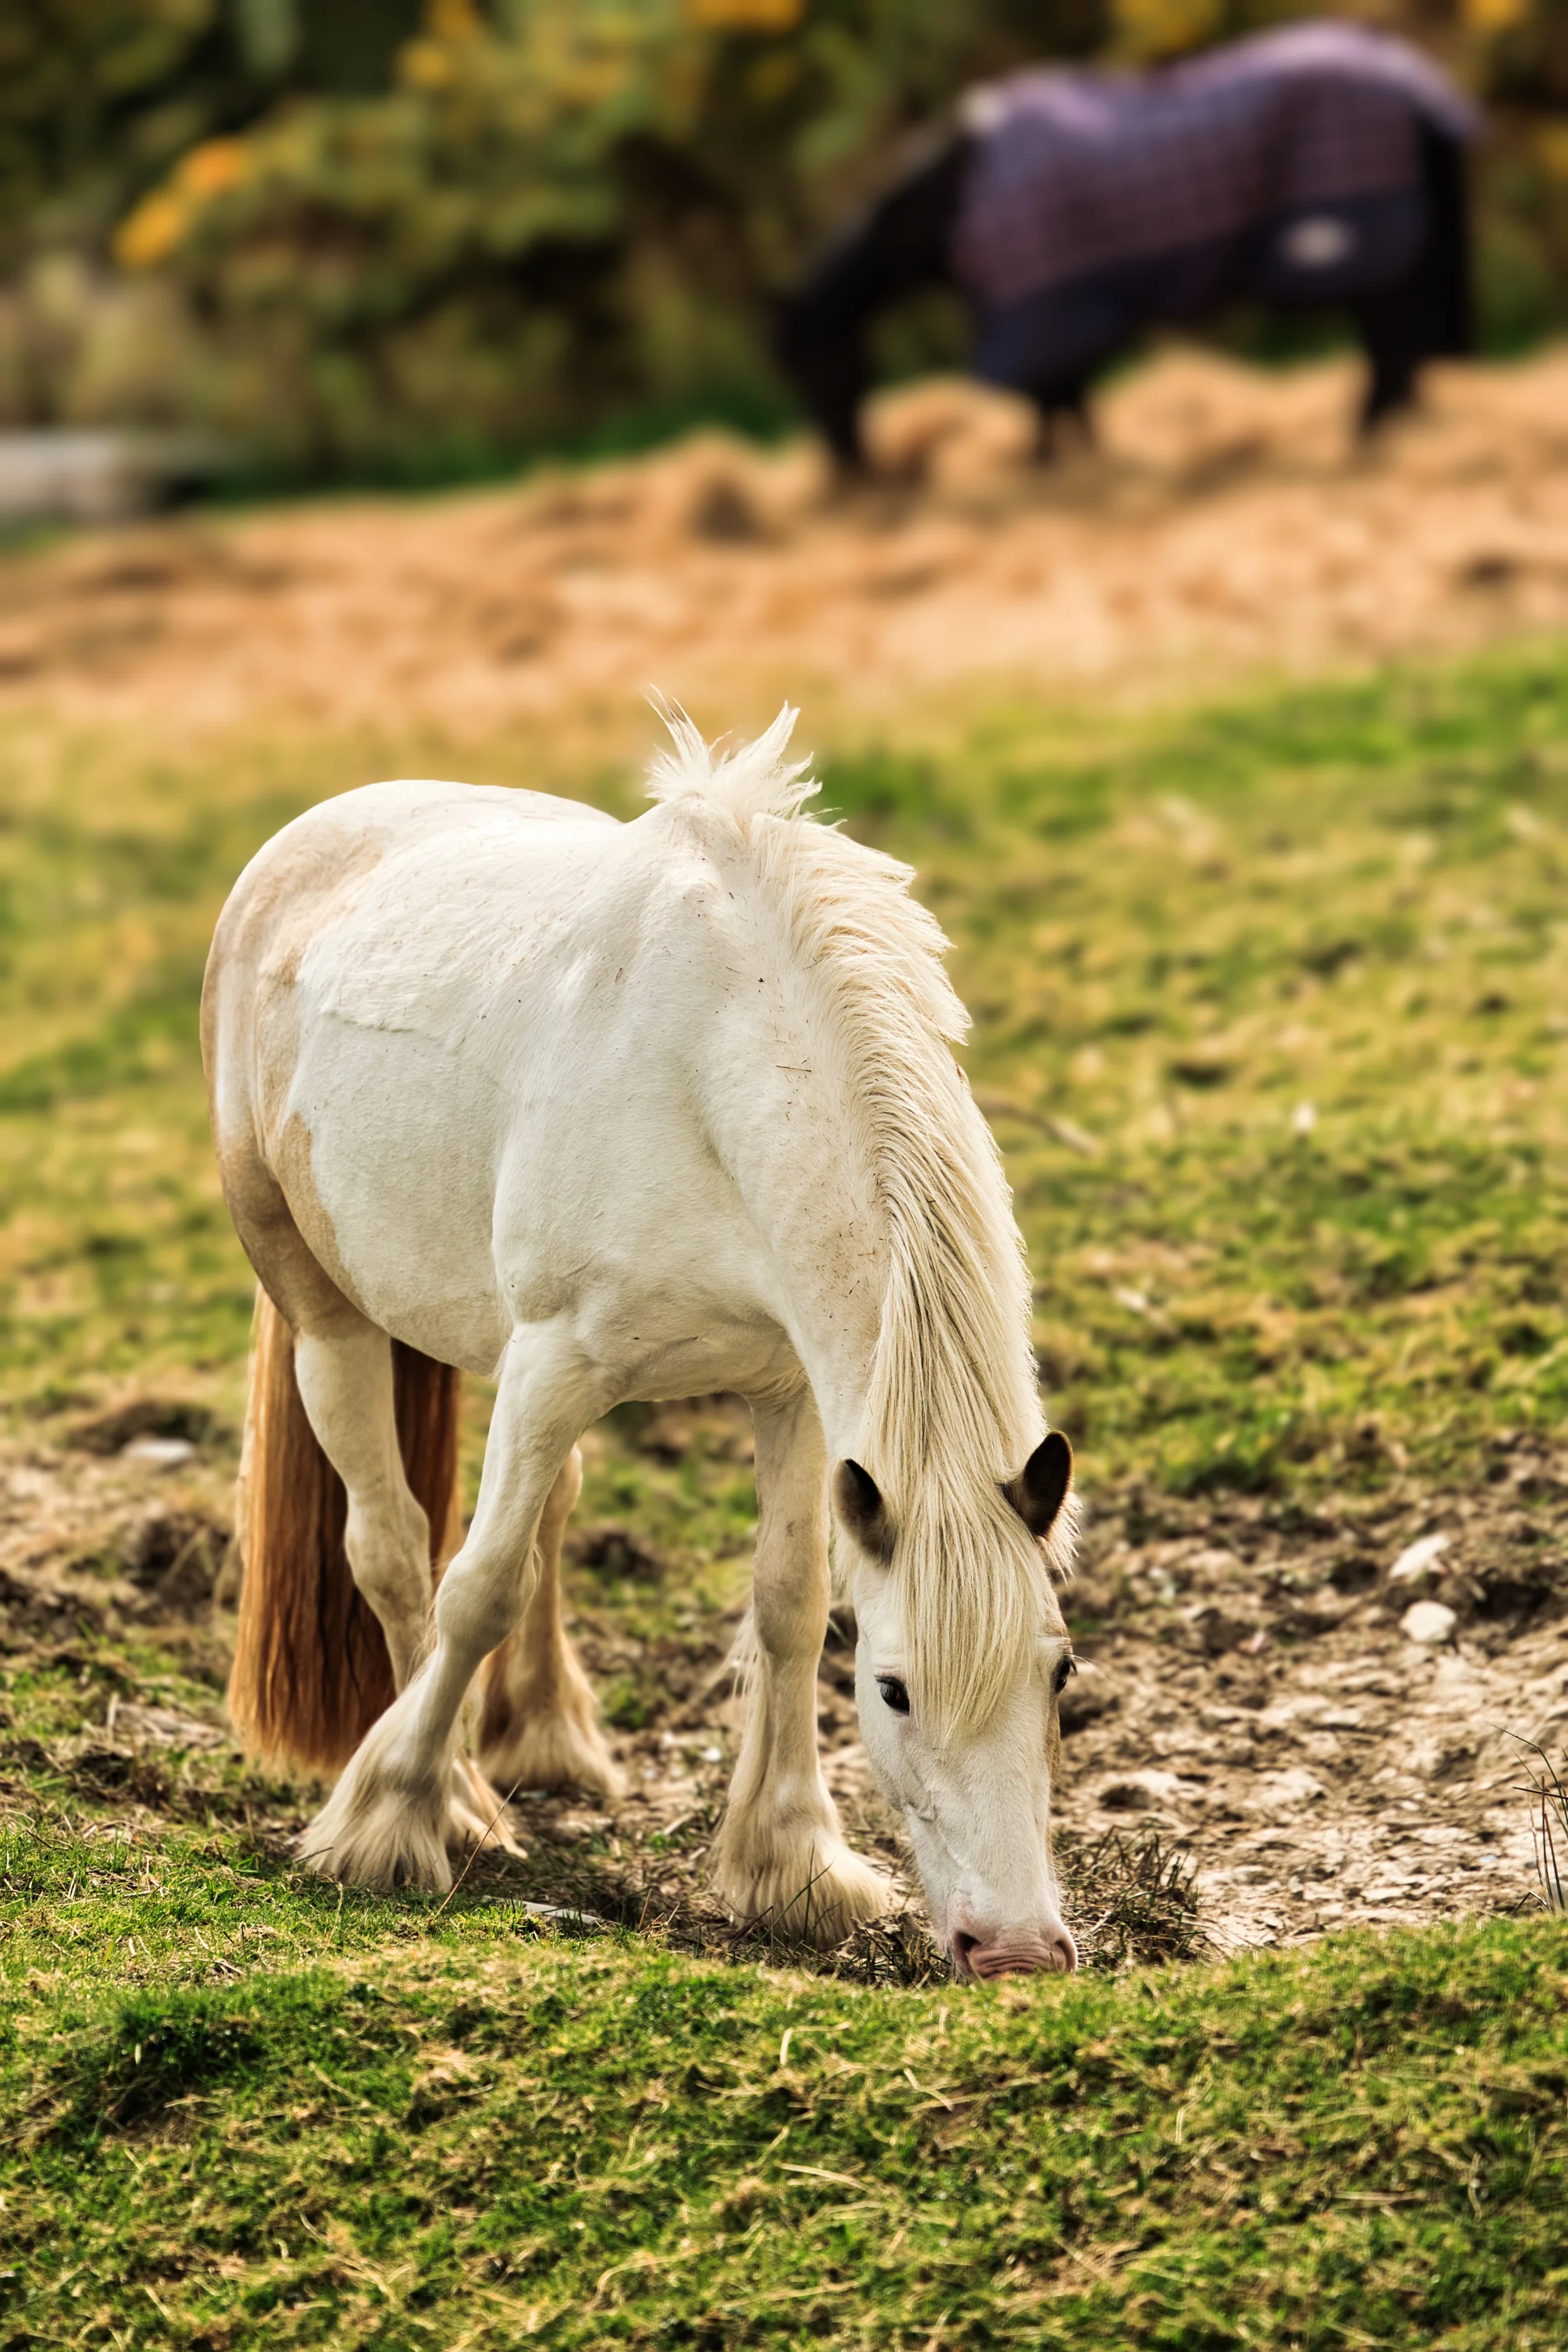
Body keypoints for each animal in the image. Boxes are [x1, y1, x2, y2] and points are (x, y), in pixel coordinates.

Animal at [202, 707, 1082, 1978]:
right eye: (894, 1691)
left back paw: (546, 1740)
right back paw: (456, 1794)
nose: (1016, 1952)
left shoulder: (790, 1391)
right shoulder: (553, 1362)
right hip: (328, 1317)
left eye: (1059, 1672)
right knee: (394, 1548)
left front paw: (792, 1865)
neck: (711, 1070)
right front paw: (390, 1823)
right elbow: (475, 1589)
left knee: (548, 1513)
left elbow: (788, 1602)